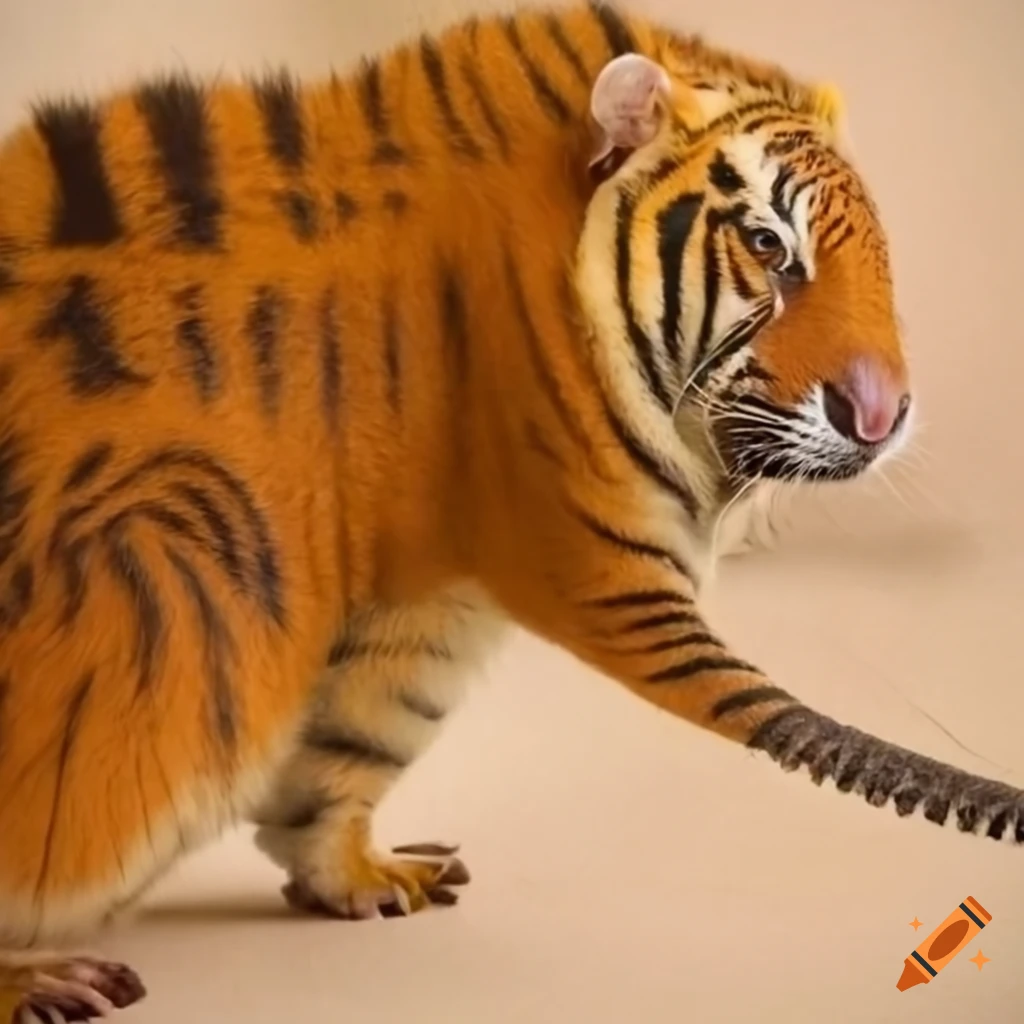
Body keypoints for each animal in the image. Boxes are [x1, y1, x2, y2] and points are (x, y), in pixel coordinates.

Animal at [0, 1, 1021, 1019]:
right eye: (770, 246)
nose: (885, 420)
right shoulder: (595, 552)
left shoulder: (430, 595)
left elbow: (354, 737)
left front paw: (353, 874)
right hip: (179, 571)